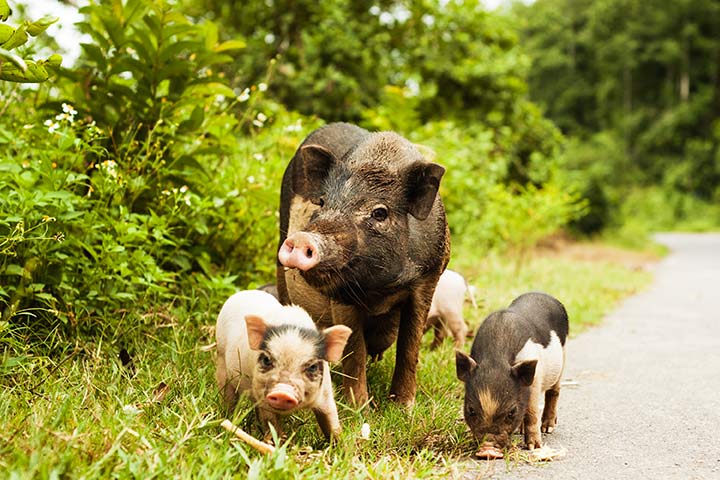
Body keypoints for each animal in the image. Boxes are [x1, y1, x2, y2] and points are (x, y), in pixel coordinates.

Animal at [215, 290, 352, 440]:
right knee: (228, 395)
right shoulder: (262, 394)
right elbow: (271, 422)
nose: (283, 392)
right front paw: (277, 442)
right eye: (267, 360)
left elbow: (331, 421)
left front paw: (340, 443)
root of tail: (243, 293)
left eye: (312, 367)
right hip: (221, 358)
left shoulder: (326, 393)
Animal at [276, 122, 450, 408]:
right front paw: (360, 409)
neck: (381, 288)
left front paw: (403, 407)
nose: (302, 239)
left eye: (379, 213)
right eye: (322, 202)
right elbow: (354, 350)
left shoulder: (429, 276)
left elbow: (410, 344)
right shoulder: (340, 295)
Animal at [455, 292, 568, 456]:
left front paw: (534, 447)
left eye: (511, 412)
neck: (496, 359)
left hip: (563, 357)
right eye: (471, 410)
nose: (487, 448)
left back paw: (548, 428)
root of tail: (543, 294)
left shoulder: (535, 380)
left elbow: (532, 413)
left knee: (554, 391)